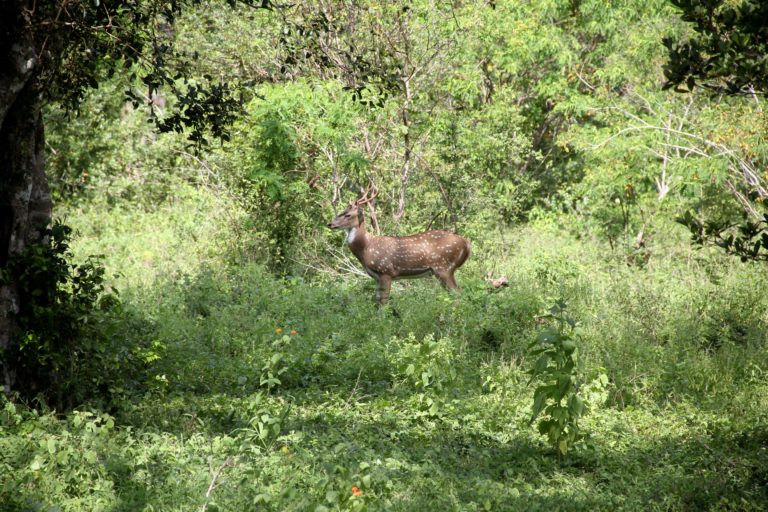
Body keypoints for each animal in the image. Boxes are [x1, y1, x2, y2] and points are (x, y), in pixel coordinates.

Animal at [328, 191, 472, 304]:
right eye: (341, 211)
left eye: (348, 214)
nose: (330, 224)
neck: (366, 248)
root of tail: (466, 243)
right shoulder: (376, 277)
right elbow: (376, 301)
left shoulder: (385, 271)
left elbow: (383, 302)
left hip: (443, 267)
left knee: (458, 294)